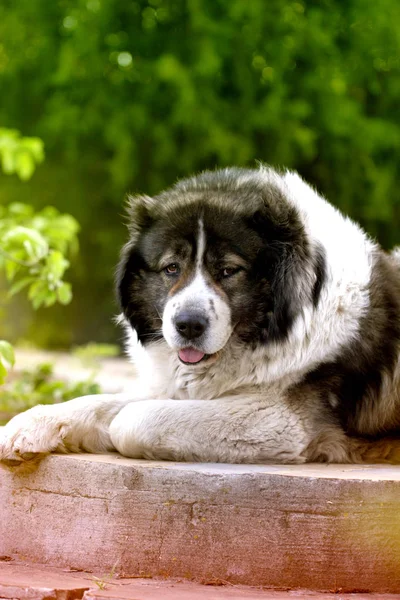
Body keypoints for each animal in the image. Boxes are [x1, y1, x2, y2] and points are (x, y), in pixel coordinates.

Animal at [2, 165, 400, 468]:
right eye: (171, 268)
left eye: (227, 271)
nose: (189, 326)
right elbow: (98, 403)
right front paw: (26, 426)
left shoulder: (282, 421)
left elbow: (131, 419)